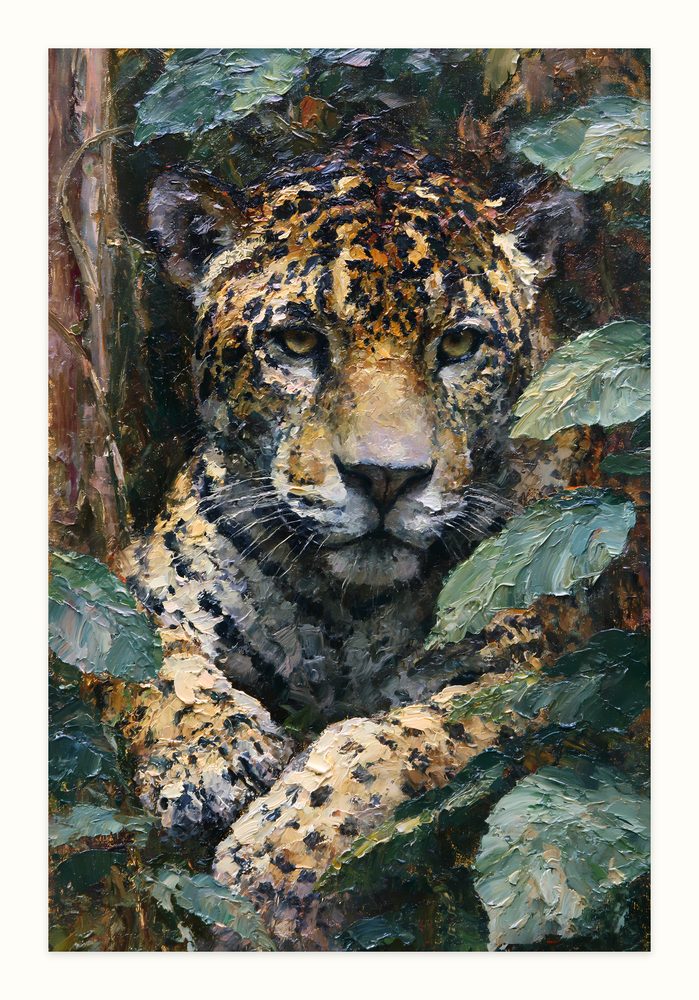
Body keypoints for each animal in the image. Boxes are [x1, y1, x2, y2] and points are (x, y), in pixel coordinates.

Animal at [115, 139, 589, 846]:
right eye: (298, 341)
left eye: (459, 342)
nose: (386, 476)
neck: (343, 614)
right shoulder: (140, 581)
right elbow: (152, 664)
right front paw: (209, 757)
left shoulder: (535, 666)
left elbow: (412, 739)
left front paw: (277, 843)